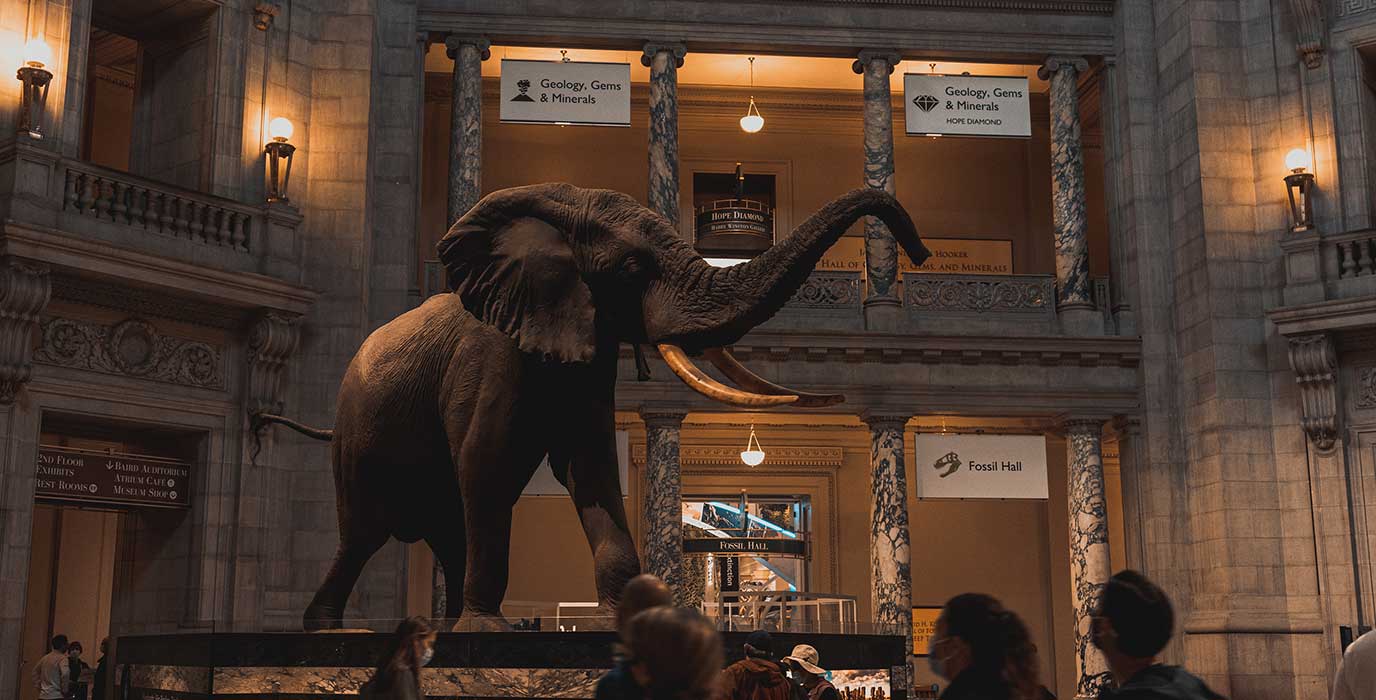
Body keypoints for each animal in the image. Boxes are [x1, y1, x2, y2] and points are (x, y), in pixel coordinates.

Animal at [255, 180, 935, 627]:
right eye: (632, 268)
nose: (920, 251)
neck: (555, 216)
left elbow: (591, 467)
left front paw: (620, 620)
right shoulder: (491, 351)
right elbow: (485, 460)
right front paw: (489, 631)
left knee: (443, 524)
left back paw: (438, 627)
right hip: (358, 430)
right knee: (365, 530)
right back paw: (332, 629)